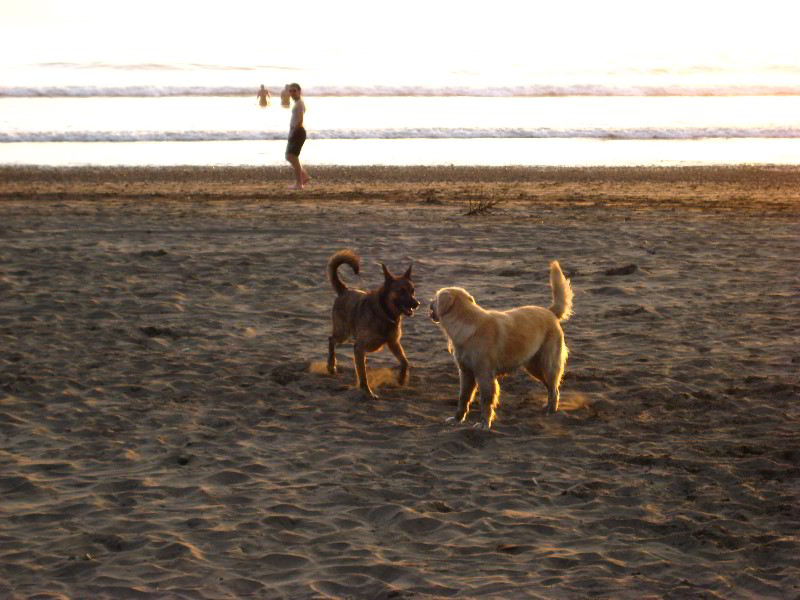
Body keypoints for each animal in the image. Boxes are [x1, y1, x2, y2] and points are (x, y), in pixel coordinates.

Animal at [326, 248, 422, 398]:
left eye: (413, 290)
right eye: (401, 291)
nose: (417, 304)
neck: (384, 312)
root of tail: (344, 290)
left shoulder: (393, 342)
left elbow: (405, 363)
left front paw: (401, 379)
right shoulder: (359, 347)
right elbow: (363, 375)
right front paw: (367, 392)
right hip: (343, 333)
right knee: (331, 340)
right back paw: (331, 366)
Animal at [428, 262, 572, 426]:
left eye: (435, 298)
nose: (428, 303)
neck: (466, 323)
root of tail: (550, 312)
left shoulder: (484, 374)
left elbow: (485, 401)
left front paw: (484, 423)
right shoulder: (466, 372)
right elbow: (463, 398)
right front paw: (457, 419)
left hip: (547, 364)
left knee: (554, 388)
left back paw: (551, 410)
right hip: (533, 366)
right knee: (550, 387)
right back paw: (548, 406)